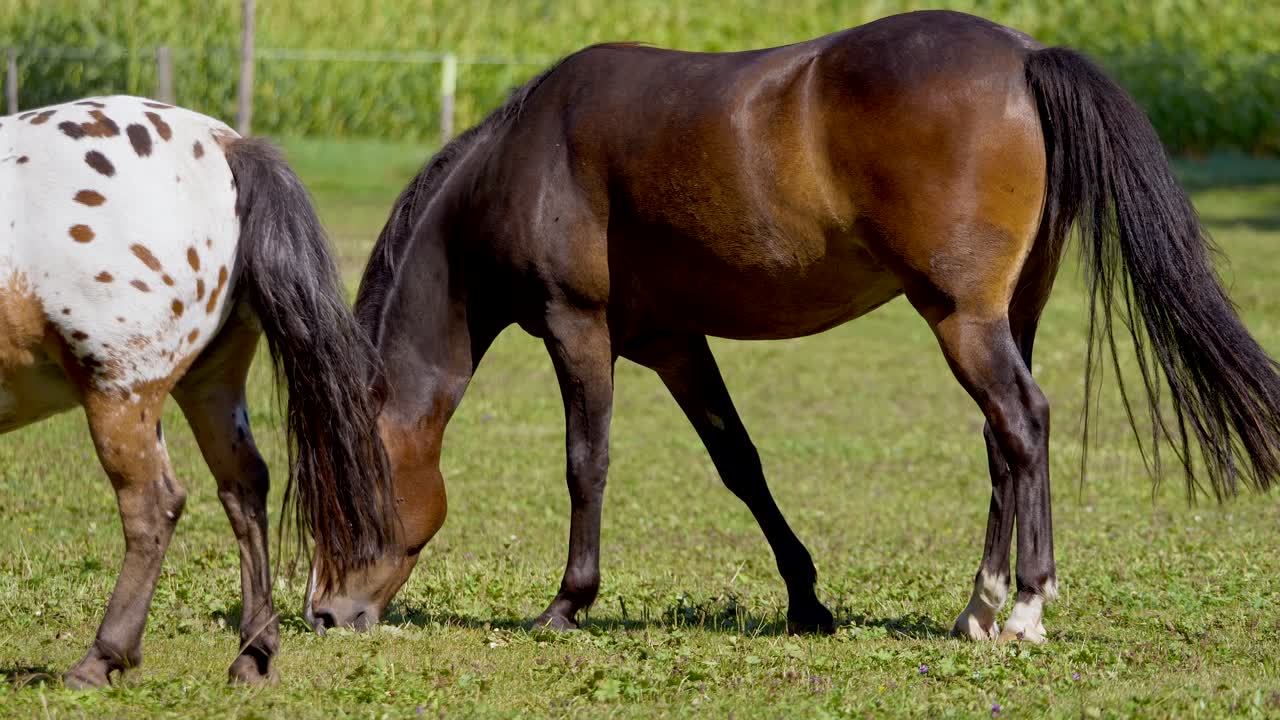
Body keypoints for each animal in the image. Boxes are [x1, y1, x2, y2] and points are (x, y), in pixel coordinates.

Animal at [0, 96, 394, 687]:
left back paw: (102, 658)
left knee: (153, 506)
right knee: (244, 486)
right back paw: (254, 652)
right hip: (209, 385)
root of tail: (221, 142)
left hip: (120, 393)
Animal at [306, 10, 1280, 643]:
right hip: (1012, 315)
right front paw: (808, 603)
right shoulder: (673, 343)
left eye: (346, 501)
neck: (525, 161)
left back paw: (1026, 610)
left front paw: (565, 605)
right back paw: (977, 608)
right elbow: (741, 464)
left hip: (962, 320)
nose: (324, 613)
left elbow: (587, 464)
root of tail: (1024, 56)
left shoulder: (573, 327)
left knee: (1023, 424)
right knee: (1005, 443)